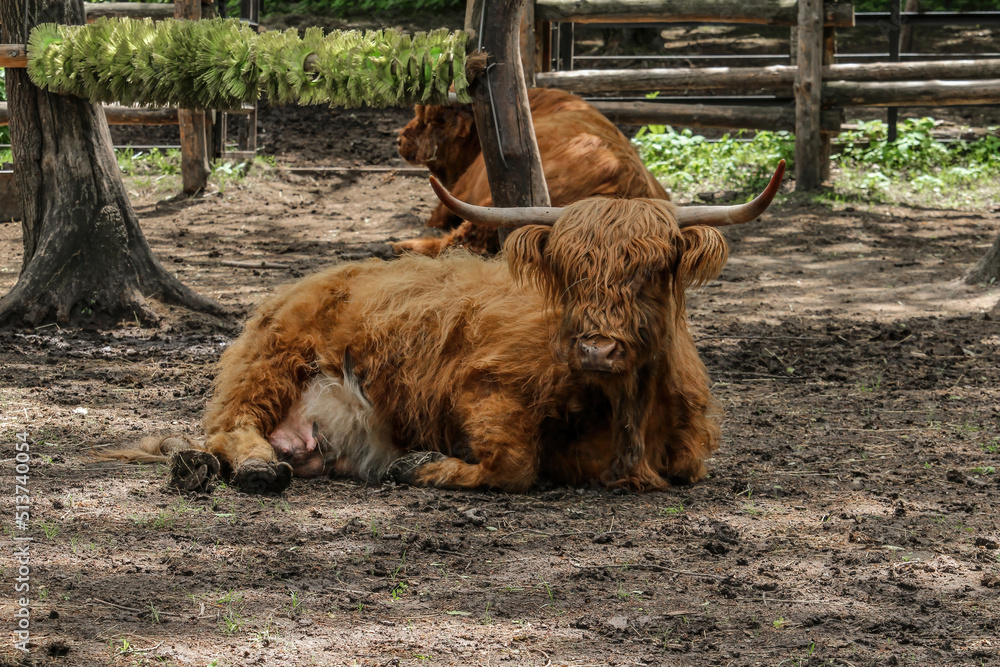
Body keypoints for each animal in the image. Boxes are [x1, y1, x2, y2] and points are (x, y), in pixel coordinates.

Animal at [107, 162, 784, 494]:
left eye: (652, 270)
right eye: (567, 272)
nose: (595, 348)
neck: (626, 416)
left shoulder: (686, 456)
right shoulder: (484, 389)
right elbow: (514, 465)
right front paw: (424, 467)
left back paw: (201, 467)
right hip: (270, 362)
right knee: (232, 427)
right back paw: (248, 470)